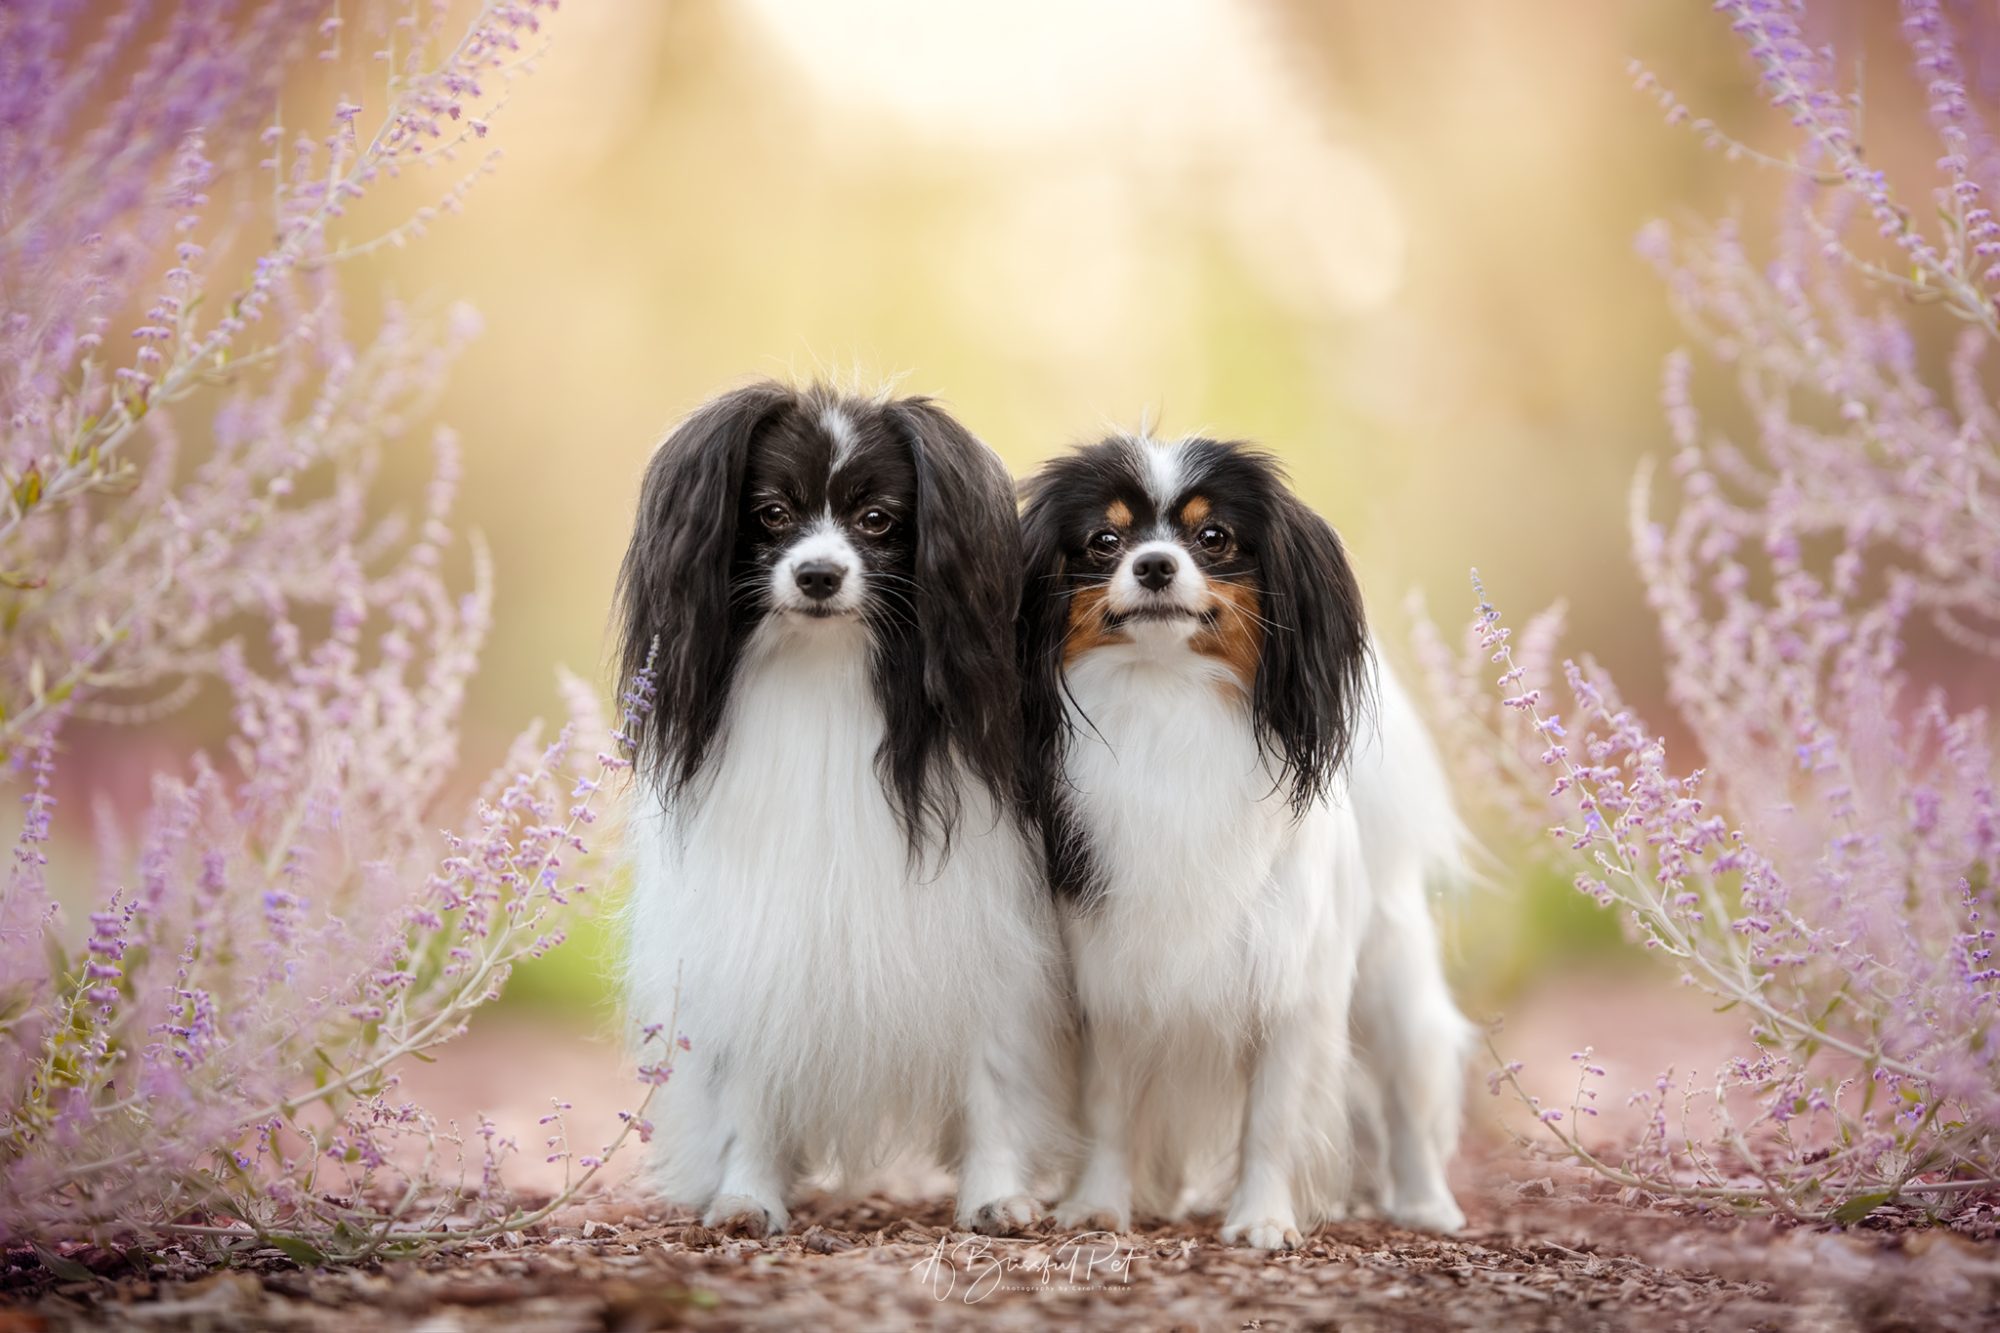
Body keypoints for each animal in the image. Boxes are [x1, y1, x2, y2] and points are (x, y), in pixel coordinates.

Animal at [616, 384, 1072, 1232]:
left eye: (877, 519)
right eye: (770, 513)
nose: (819, 575)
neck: (826, 667)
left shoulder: (990, 935)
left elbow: (993, 1076)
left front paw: (996, 1195)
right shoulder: (756, 933)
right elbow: (748, 1085)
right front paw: (746, 1195)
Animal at [1032, 434, 1472, 1248]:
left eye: (1213, 537)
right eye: (1104, 541)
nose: (1154, 564)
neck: (1169, 697)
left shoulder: (1291, 983)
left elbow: (1271, 1119)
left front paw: (1263, 1220)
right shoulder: (1113, 975)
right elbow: (1108, 1108)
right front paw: (1097, 1206)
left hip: (1387, 977)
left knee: (1406, 1093)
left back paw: (1428, 1203)